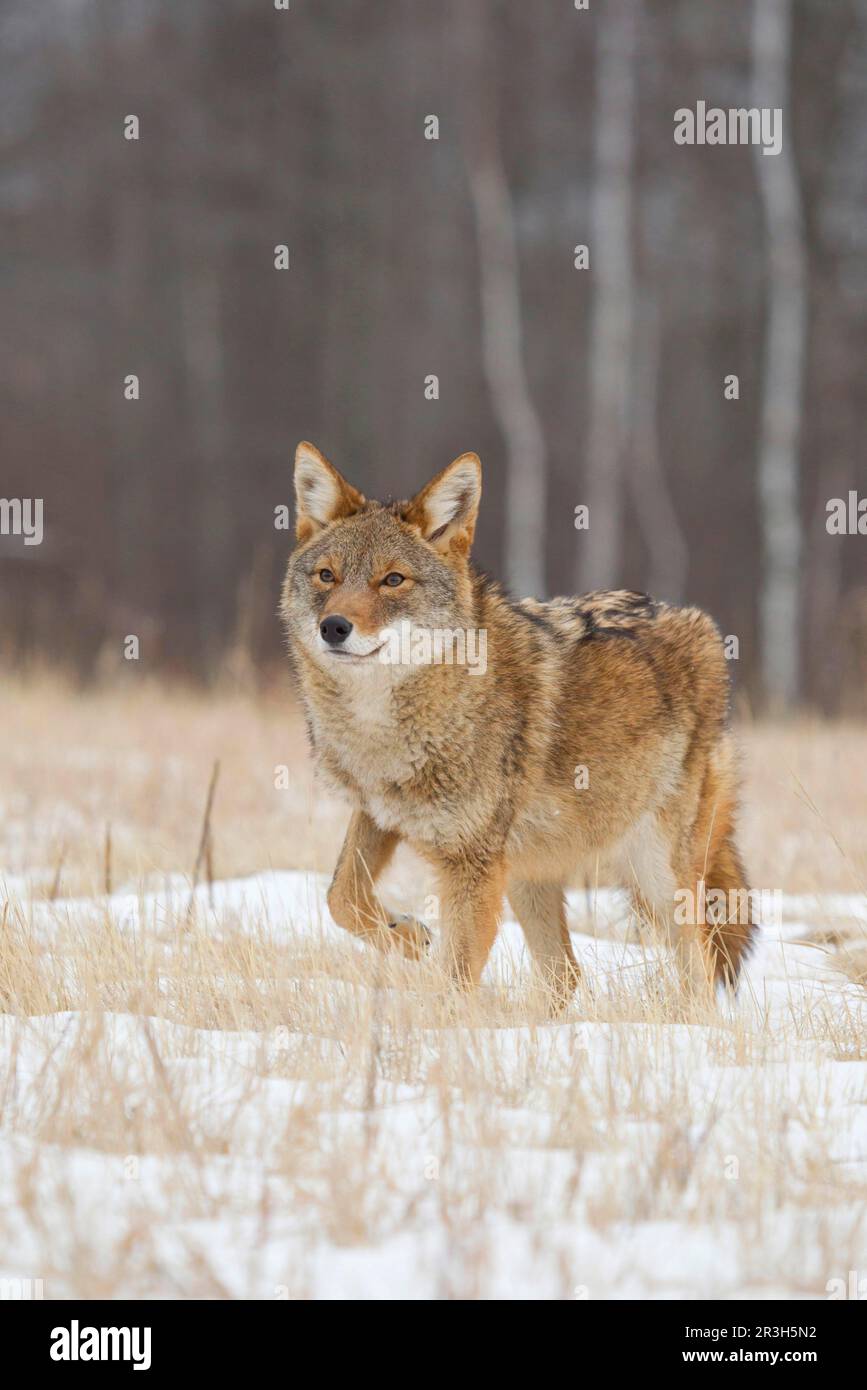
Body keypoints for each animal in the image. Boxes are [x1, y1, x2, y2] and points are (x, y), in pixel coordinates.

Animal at [281, 440, 757, 1010]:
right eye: (327, 576)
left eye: (392, 580)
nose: (334, 627)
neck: (384, 732)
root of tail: (699, 623)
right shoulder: (378, 815)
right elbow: (340, 896)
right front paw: (408, 936)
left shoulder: (472, 866)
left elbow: (454, 979)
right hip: (530, 872)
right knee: (567, 973)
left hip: (655, 876)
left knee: (698, 972)